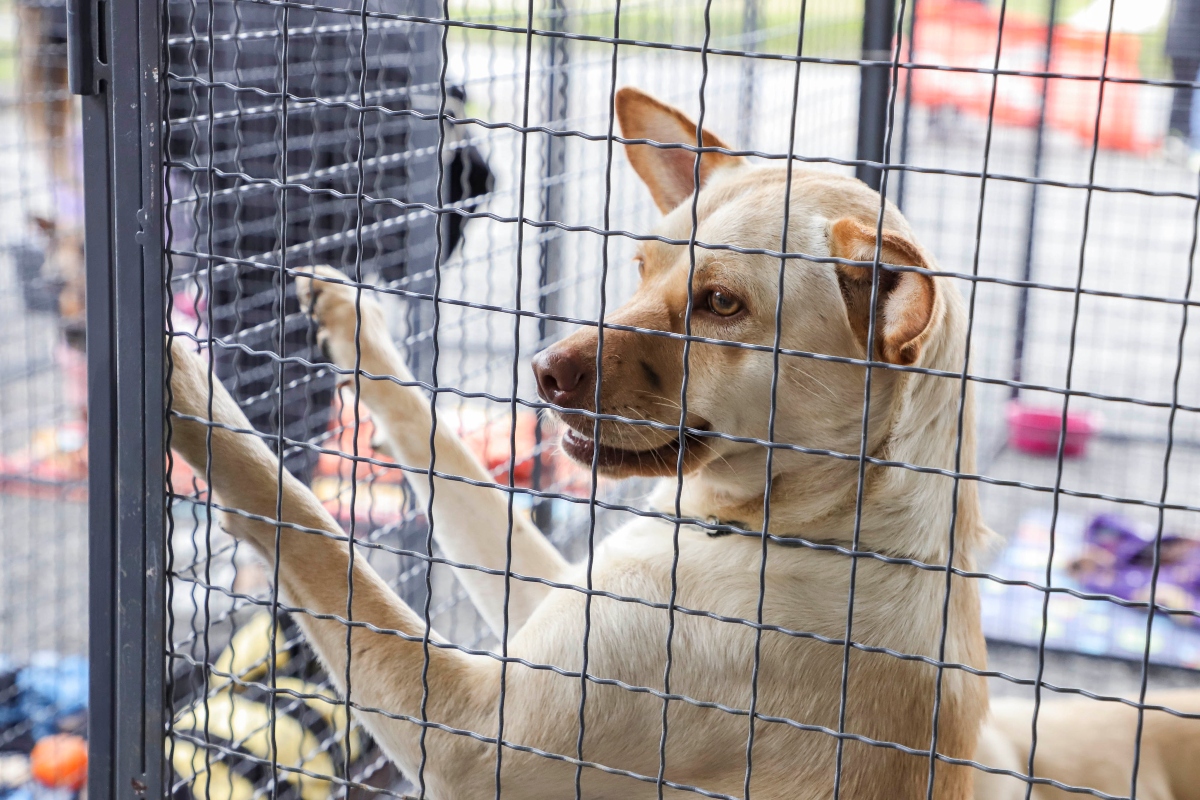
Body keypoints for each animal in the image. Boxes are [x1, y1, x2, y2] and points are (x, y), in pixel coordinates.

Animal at [169, 84, 993, 796]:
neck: (809, 523)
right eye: (642, 265)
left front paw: (183, 382)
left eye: (722, 303)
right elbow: (432, 441)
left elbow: (303, 522)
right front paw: (350, 317)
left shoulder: (475, 730)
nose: (542, 371)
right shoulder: (547, 595)